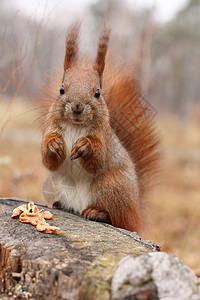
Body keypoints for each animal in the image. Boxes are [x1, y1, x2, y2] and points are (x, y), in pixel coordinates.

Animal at [40, 24, 159, 234]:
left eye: (97, 92)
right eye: (61, 89)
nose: (77, 106)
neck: (76, 125)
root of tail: (136, 213)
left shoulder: (104, 138)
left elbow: (99, 159)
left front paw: (84, 146)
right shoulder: (49, 127)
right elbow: (48, 160)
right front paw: (53, 144)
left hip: (112, 186)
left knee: (117, 218)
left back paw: (97, 213)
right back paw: (62, 205)